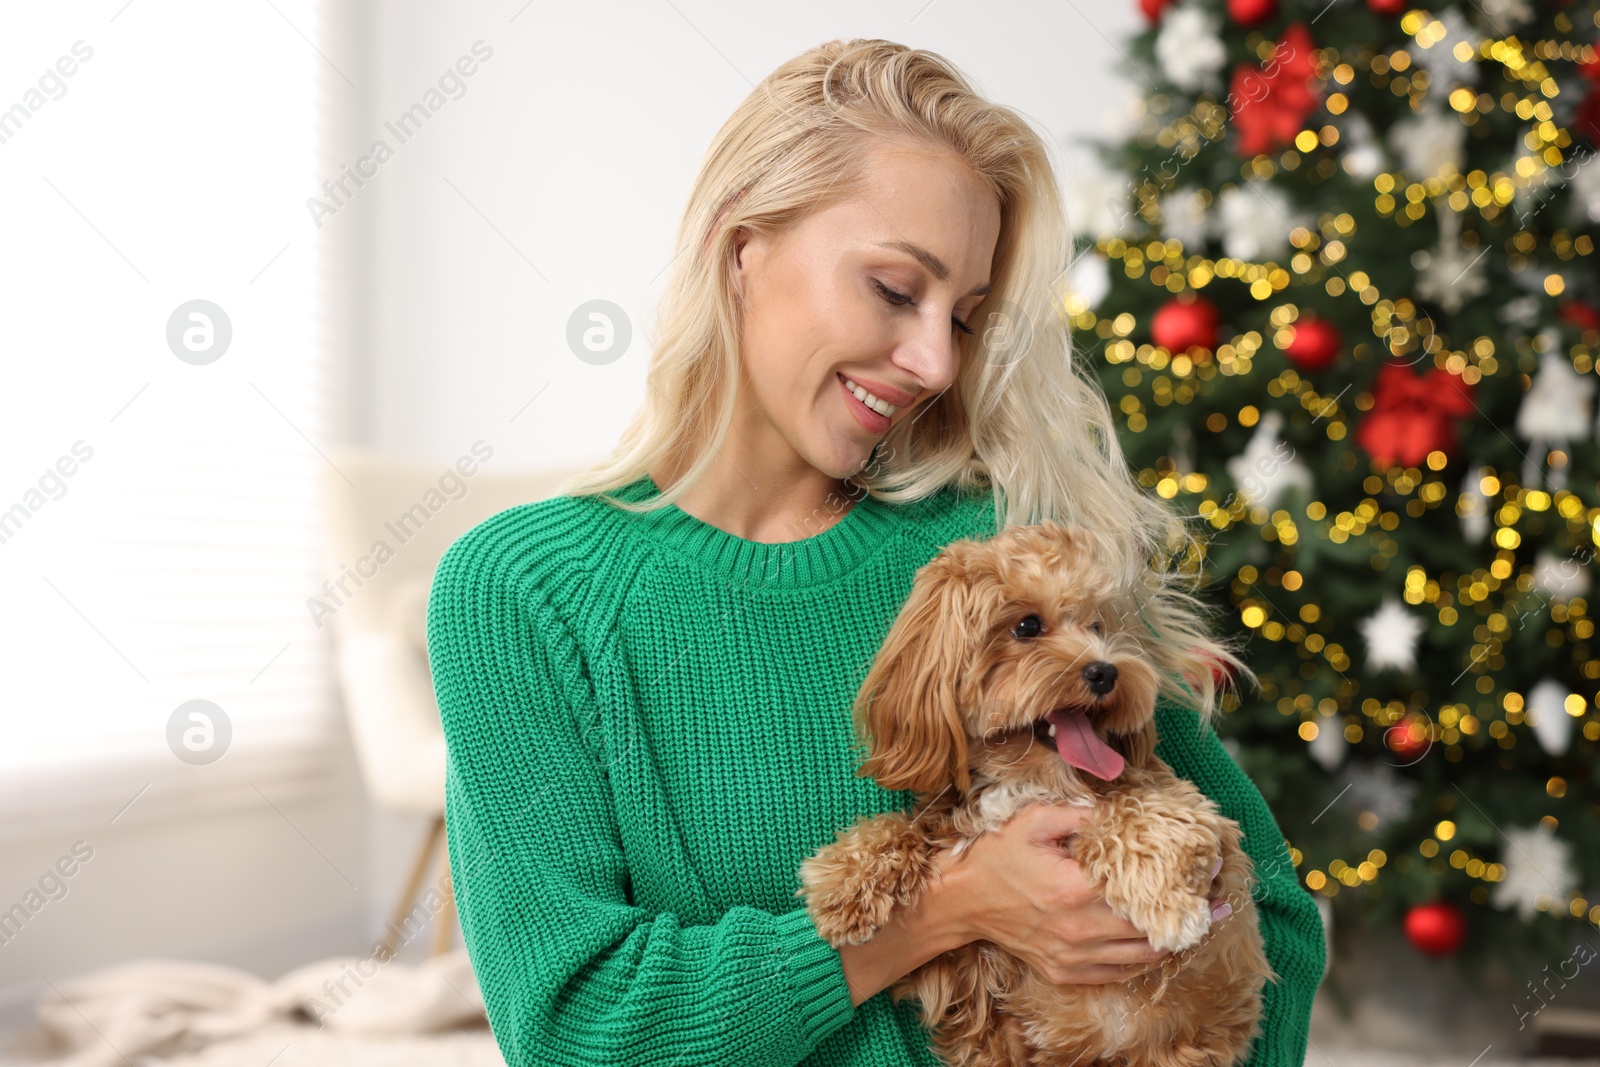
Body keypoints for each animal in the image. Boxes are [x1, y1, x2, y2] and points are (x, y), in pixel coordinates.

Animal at [796, 521, 1273, 1062]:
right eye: (1026, 626)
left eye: (1097, 627)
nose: (1105, 671)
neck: (1029, 781)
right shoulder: (958, 955)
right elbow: (906, 827)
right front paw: (842, 881)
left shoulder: (1198, 816)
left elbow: (1137, 817)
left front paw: (1168, 904)